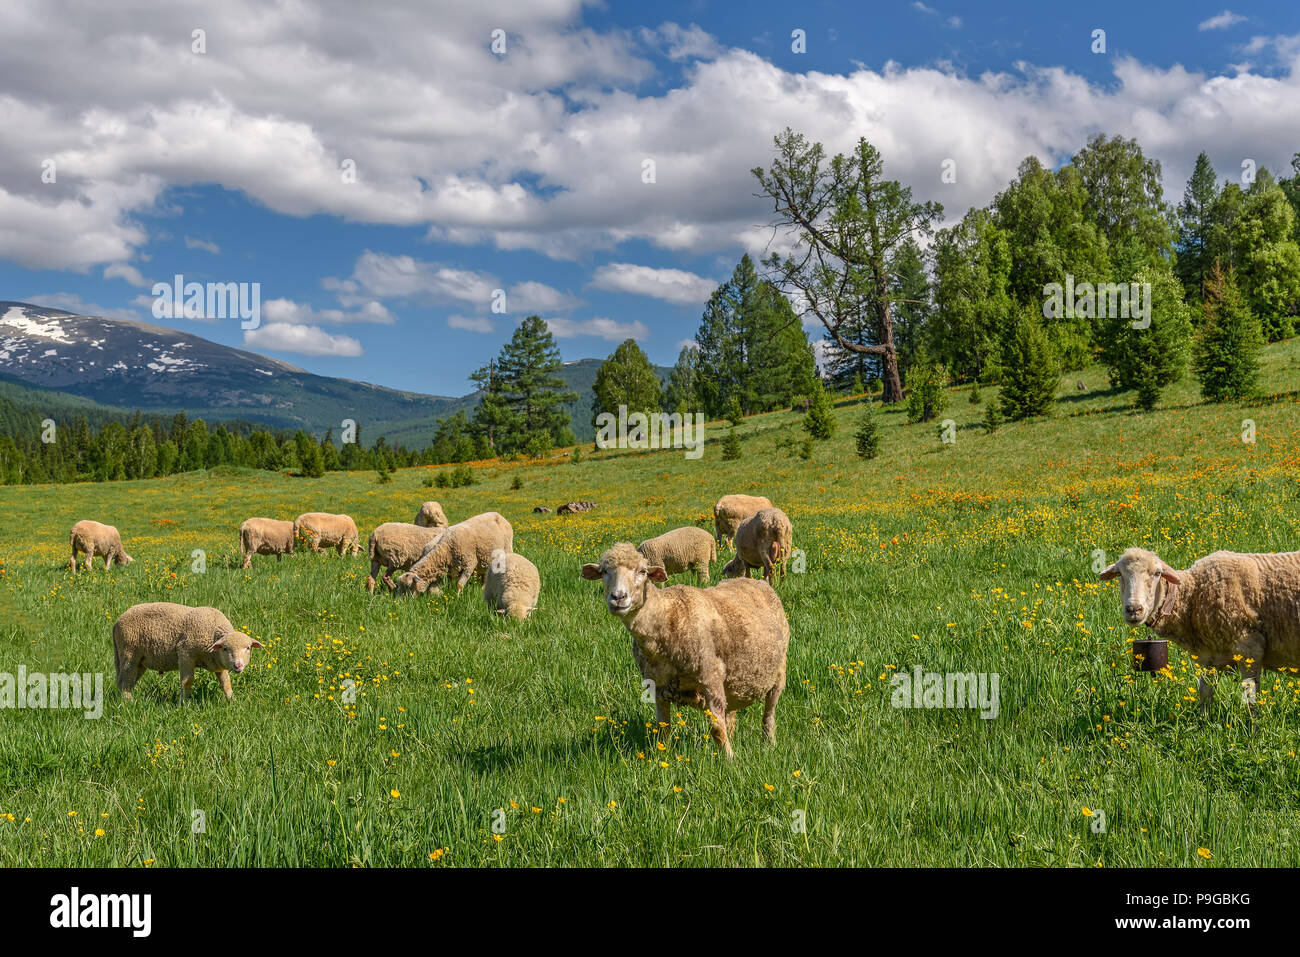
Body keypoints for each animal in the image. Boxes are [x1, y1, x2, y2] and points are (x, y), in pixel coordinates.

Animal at [113, 605, 261, 702]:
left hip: (140, 661)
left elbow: (226, 683)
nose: (238, 665)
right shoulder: (185, 653)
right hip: (129, 653)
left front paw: (232, 700)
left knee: (125, 680)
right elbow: (187, 681)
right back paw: (128, 701)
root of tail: (117, 622)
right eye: (225, 649)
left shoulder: (218, 664)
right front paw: (184, 703)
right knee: (127, 678)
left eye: (248, 648)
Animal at [582, 540, 785, 759]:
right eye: (604, 571)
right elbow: (663, 727)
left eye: (642, 571)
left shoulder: (711, 676)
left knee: (769, 714)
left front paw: (730, 760)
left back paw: (769, 742)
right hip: (735, 678)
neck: (667, 617)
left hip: (778, 673)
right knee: (731, 712)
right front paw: (662, 756)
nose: (618, 597)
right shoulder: (658, 686)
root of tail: (757, 582)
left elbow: (716, 728)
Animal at [1102, 546, 1300, 712]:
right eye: (1119, 574)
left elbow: (1250, 699)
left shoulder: (1249, 647)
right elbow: (1205, 693)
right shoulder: (1210, 657)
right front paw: (1203, 723)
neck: (1194, 596)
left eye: (1157, 573)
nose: (1133, 609)